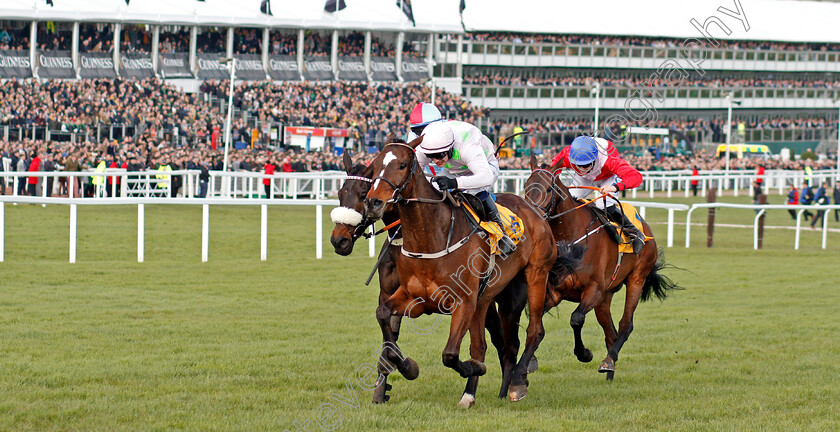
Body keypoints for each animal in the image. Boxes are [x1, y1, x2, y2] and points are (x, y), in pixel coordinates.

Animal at [364, 138, 576, 404]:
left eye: (402, 165)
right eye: (374, 166)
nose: (373, 202)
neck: (433, 236)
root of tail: (534, 210)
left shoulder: (463, 301)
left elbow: (450, 354)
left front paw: (474, 368)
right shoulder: (415, 298)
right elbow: (383, 314)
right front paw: (408, 367)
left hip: (536, 274)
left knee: (533, 332)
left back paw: (517, 382)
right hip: (490, 299)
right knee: (492, 344)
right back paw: (477, 393)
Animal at [524, 157, 684, 380]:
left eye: (548, 189)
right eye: (525, 187)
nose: (533, 217)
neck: (573, 237)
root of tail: (645, 227)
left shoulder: (594, 289)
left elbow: (576, 319)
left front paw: (584, 353)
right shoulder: (557, 291)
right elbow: (535, 317)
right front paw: (530, 360)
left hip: (636, 279)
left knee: (626, 325)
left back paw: (608, 361)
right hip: (605, 298)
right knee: (611, 332)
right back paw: (610, 368)